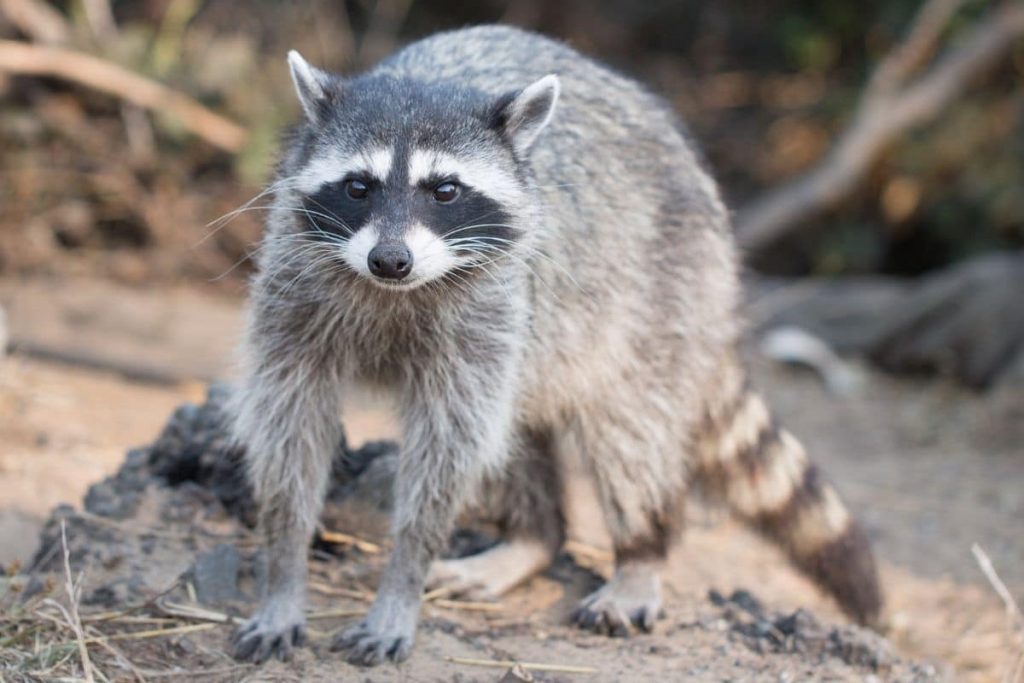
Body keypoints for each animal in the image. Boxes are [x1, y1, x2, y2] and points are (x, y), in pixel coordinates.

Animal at [226, 26, 880, 667]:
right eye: (359, 187)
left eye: (445, 191)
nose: (390, 260)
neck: (394, 291)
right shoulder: (293, 290)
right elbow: (289, 426)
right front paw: (284, 571)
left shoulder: (490, 305)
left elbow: (448, 452)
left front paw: (402, 579)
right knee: (518, 438)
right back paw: (534, 538)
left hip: (658, 296)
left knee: (629, 437)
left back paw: (639, 555)